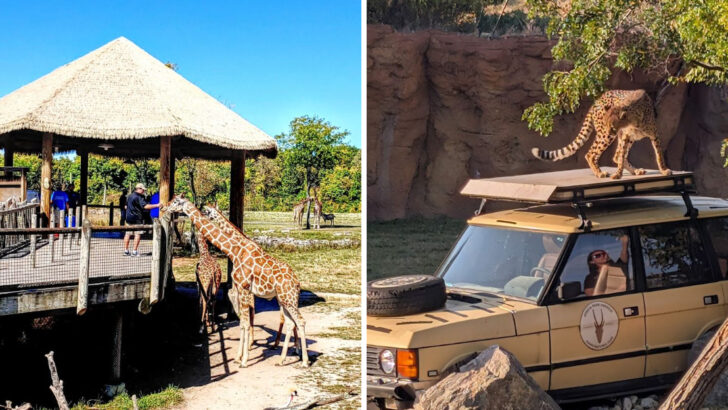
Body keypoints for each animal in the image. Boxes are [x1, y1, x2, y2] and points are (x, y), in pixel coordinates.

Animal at [162, 196, 309, 368]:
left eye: (175, 202)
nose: (163, 208)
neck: (234, 251)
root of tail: (297, 283)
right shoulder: (240, 288)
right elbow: (243, 322)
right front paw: (239, 356)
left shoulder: (245, 288)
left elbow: (245, 321)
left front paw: (244, 360)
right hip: (284, 299)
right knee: (291, 322)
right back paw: (282, 359)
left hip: (288, 299)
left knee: (300, 321)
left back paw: (304, 360)